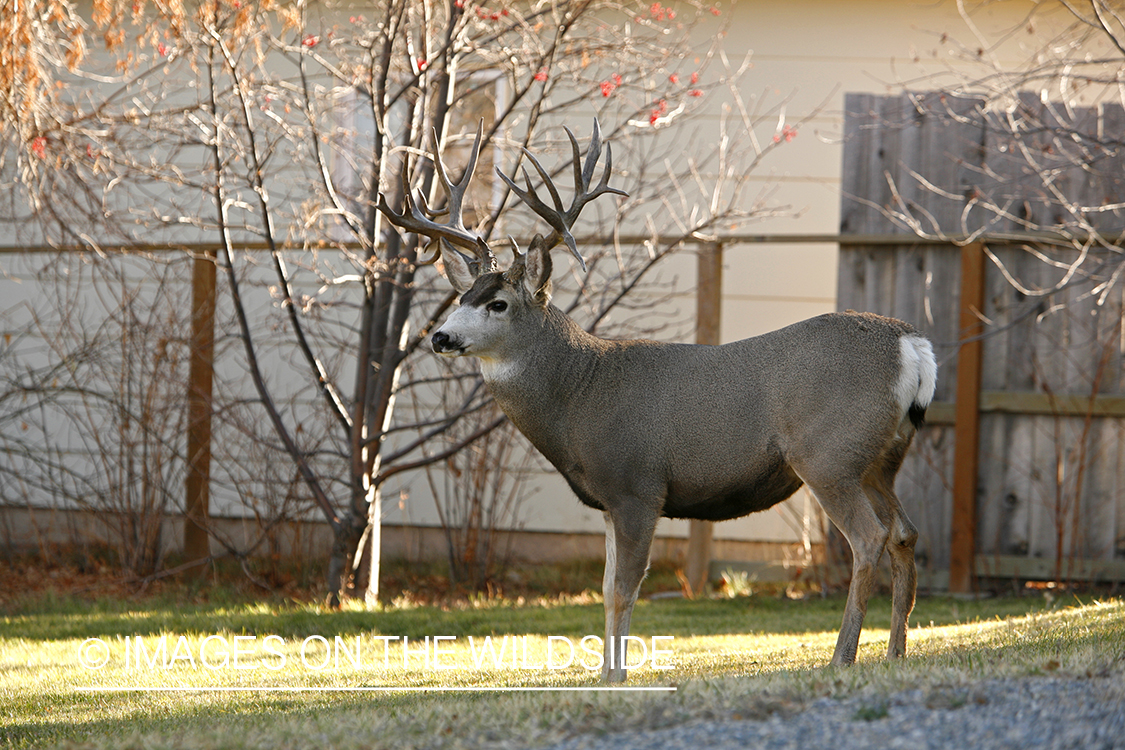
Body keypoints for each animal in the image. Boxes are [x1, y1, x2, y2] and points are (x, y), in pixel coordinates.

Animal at [378, 121, 937, 683]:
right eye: (461, 297)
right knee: (904, 533)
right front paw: (604, 673)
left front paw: (618, 675)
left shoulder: (636, 485)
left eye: (497, 303)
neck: (579, 394)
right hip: (880, 458)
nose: (440, 337)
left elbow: (626, 589)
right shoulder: (607, 499)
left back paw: (842, 657)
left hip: (828, 455)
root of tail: (911, 345)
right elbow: (605, 590)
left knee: (868, 538)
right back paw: (895, 652)